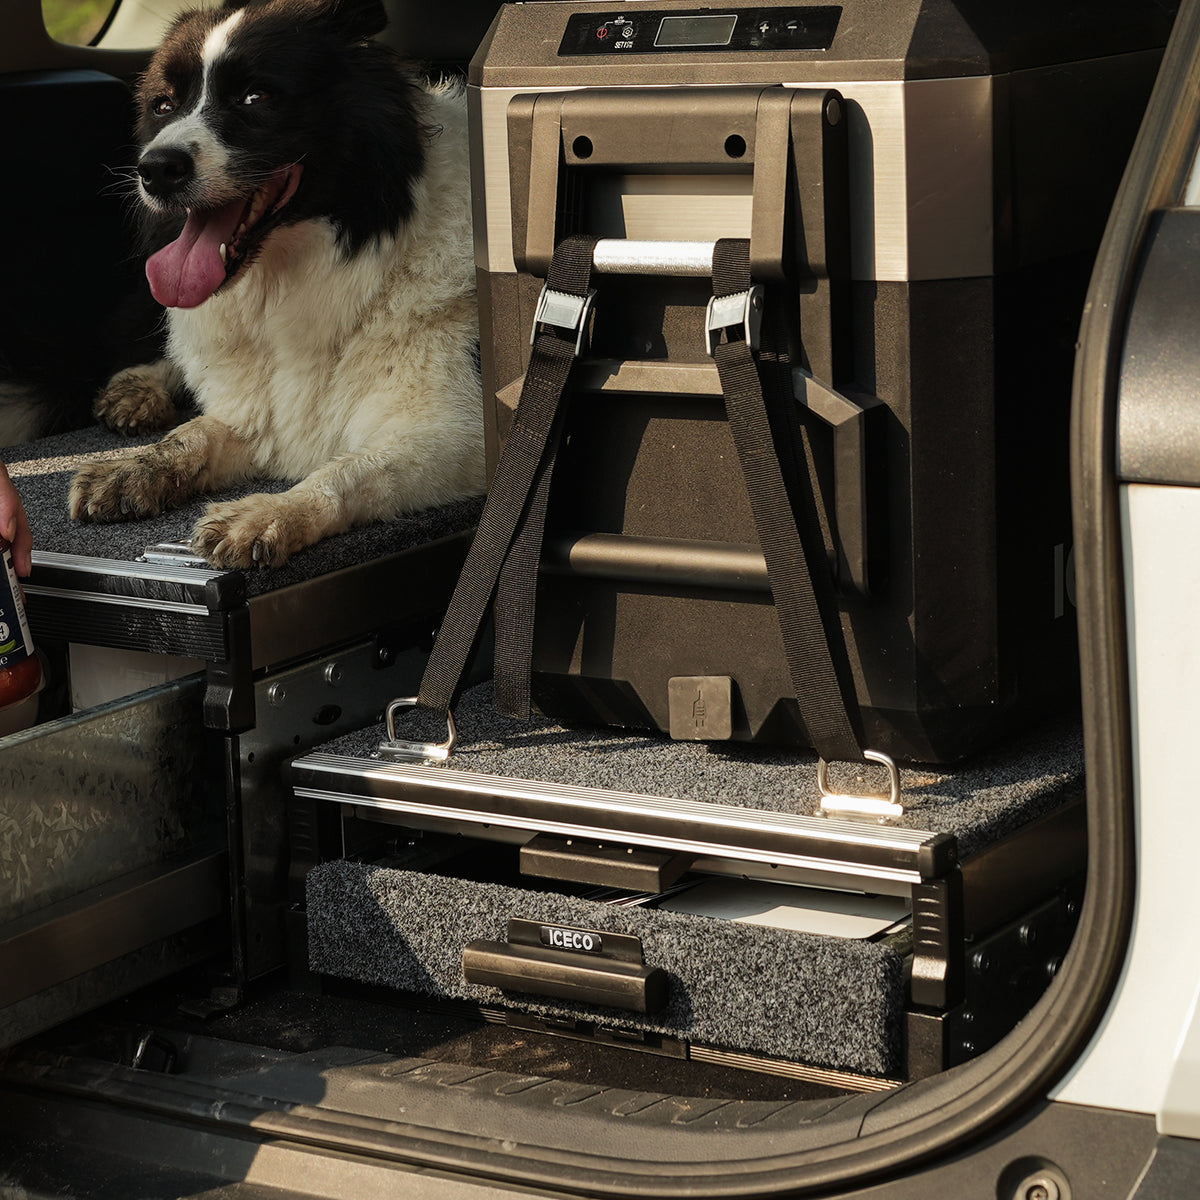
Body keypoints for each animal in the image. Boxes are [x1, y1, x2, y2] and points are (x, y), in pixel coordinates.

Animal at [69, 0, 482, 568]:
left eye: (255, 97)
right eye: (163, 105)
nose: (154, 170)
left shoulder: (456, 433)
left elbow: (350, 471)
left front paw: (268, 513)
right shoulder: (258, 411)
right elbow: (193, 433)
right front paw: (133, 468)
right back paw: (137, 390)